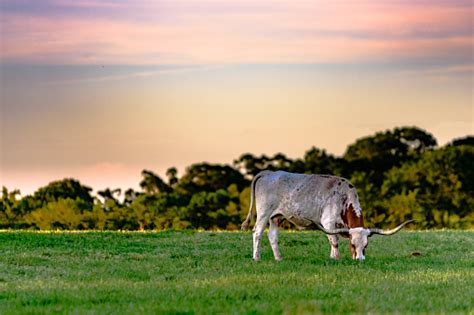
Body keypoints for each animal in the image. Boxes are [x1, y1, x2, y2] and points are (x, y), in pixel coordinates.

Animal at [243, 172, 412, 260]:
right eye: (352, 245)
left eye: (366, 246)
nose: (360, 260)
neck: (344, 198)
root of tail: (269, 173)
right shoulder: (328, 222)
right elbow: (334, 241)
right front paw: (336, 258)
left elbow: (332, 240)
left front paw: (332, 257)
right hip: (264, 213)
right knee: (257, 232)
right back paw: (256, 257)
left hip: (276, 217)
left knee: (272, 235)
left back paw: (279, 258)